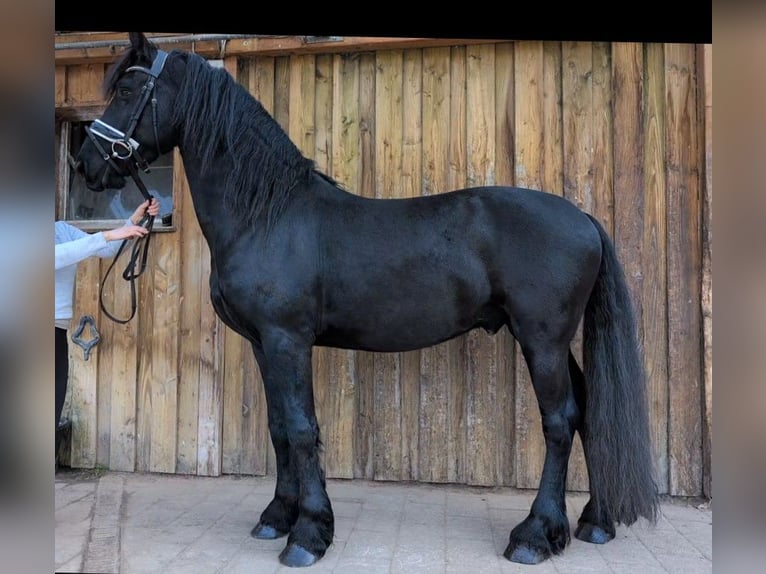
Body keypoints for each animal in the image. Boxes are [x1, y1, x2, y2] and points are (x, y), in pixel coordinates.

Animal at [74, 32, 659, 568]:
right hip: (555, 343)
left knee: (559, 421)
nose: (86, 165)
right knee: (589, 412)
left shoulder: (287, 340)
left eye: (127, 89)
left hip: (542, 339)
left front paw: (308, 535)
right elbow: (279, 428)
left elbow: (302, 429)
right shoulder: (264, 345)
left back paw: (535, 535)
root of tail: (583, 218)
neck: (267, 214)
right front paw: (277, 517)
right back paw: (594, 523)